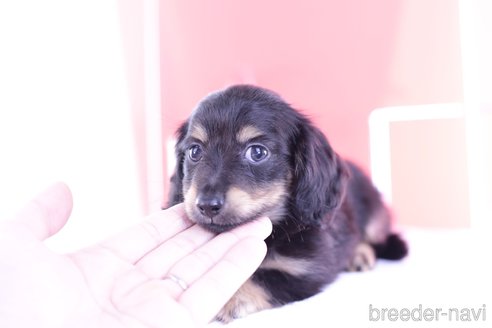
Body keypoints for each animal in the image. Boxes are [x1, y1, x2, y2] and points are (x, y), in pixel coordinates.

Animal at [166, 84, 408, 322]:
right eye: (194, 151)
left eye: (257, 152)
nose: (207, 205)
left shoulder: (303, 269)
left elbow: (259, 277)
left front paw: (229, 296)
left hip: (375, 218)